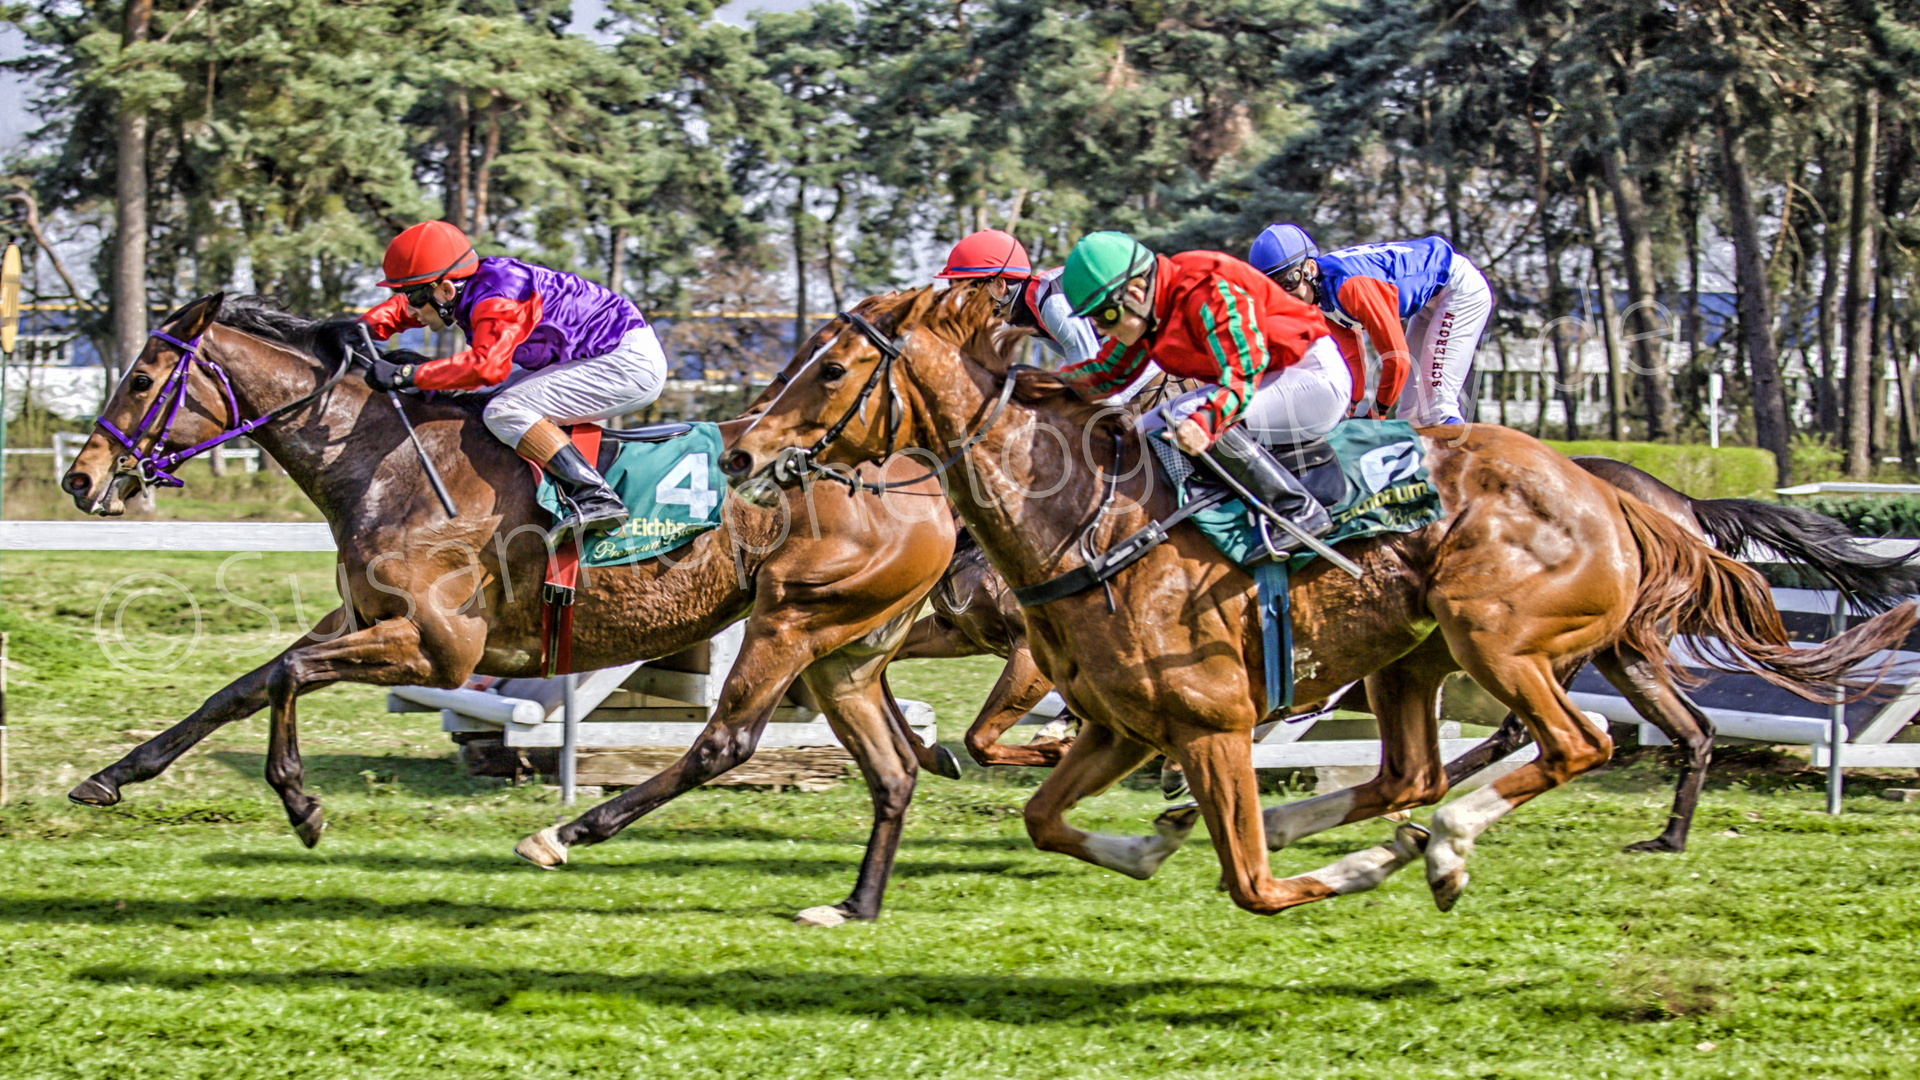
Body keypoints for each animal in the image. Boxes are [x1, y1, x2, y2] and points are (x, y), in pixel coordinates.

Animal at [56, 294, 956, 926]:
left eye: (141, 380)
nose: (80, 478)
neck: (382, 458)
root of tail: (920, 479)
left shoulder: (440, 647)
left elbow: (287, 675)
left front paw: (302, 805)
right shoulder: (363, 619)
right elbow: (242, 686)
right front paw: (112, 777)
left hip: (788, 624)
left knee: (723, 745)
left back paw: (565, 834)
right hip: (844, 653)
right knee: (892, 769)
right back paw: (853, 905)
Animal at [721, 284, 1920, 907]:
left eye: (831, 369)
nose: (739, 450)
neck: (1087, 523)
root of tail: (1612, 492)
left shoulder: (1208, 718)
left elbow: (1251, 884)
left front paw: (1341, 864)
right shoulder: (1122, 722)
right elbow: (1043, 815)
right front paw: (1149, 840)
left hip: (1499, 638)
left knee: (1572, 746)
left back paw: (1442, 845)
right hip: (1417, 657)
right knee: (1409, 771)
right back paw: (1375, 829)